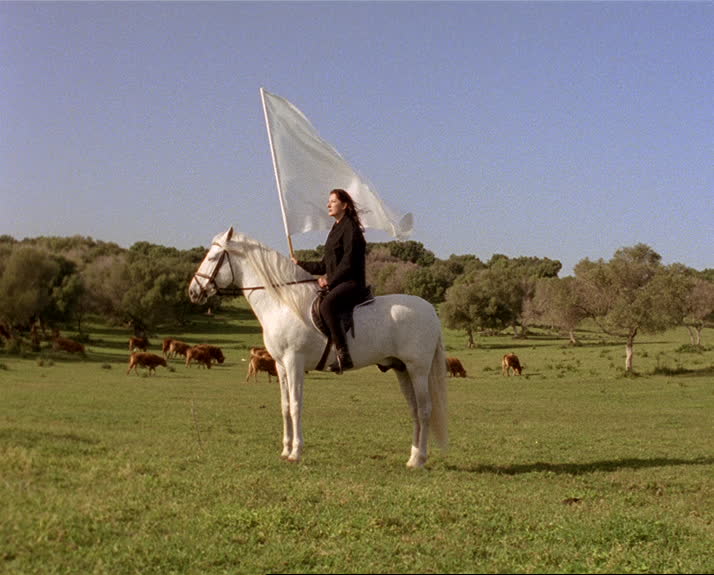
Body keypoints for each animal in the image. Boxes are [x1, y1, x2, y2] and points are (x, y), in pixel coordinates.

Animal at [188, 227, 444, 470]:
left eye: (213, 257)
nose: (193, 291)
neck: (284, 304)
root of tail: (431, 311)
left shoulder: (294, 362)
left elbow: (296, 406)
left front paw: (296, 453)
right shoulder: (280, 366)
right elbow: (285, 406)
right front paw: (285, 450)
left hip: (418, 370)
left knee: (424, 410)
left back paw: (420, 459)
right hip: (402, 370)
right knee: (414, 411)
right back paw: (412, 457)